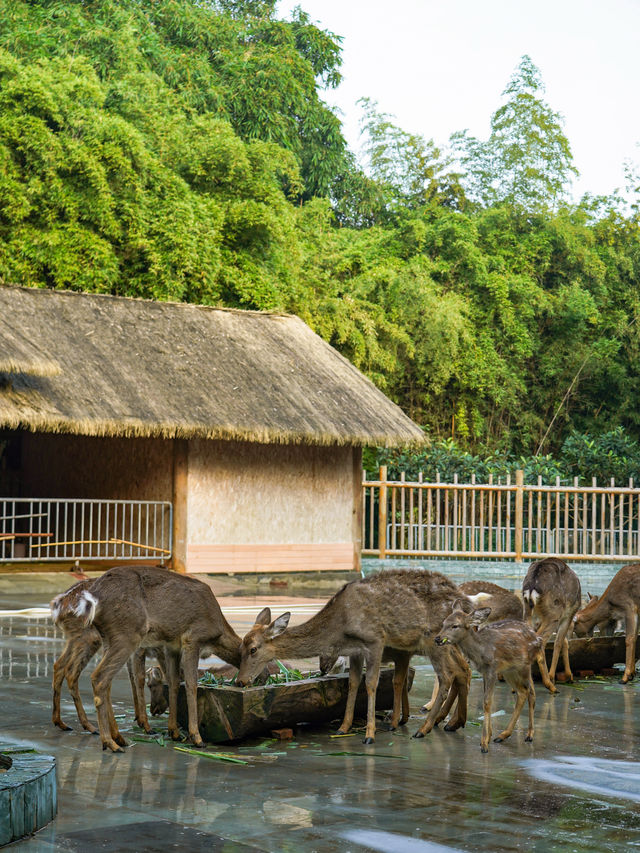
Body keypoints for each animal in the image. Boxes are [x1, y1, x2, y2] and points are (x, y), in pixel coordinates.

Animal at [69, 564, 240, 752]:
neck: (217, 634)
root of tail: (93, 598)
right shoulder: (192, 639)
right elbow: (191, 685)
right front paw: (196, 737)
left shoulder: (172, 646)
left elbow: (174, 682)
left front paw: (174, 732)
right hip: (127, 634)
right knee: (99, 677)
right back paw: (110, 742)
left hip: (108, 638)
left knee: (106, 681)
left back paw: (119, 738)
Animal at [235, 568, 470, 744]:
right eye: (241, 646)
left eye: (253, 649)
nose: (240, 681)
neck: (341, 627)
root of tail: (463, 598)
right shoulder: (356, 651)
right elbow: (354, 682)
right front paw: (343, 727)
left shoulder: (375, 639)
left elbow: (371, 683)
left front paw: (369, 734)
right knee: (462, 670)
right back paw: (453, 722)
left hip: (434, 640)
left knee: (447, 676)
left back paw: (424, 728)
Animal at [432, 600, 544, 752]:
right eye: (443, 623)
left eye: (455, 625)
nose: (437, 638)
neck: (481, 650)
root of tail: (538, 638)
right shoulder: (485, 672)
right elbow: (487, 699)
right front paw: (489, 736)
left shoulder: (492, 669)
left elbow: (487, 702)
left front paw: (484, 743)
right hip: (510, 671)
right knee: (524, 692)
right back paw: (503, 735)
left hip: (524, 666)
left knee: (529, 692)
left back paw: (528, 735)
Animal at [524, 560, 584, 692]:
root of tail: (531, 588)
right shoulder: (568, 614)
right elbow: (559, 643)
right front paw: (559, 676)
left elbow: (563, 641)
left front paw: (568, 676)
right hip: (555, 611)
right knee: (540, 640)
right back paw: (550, 685)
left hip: (528, 611)